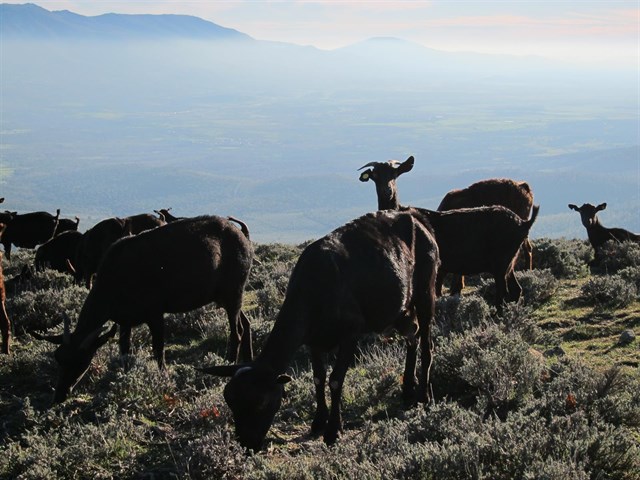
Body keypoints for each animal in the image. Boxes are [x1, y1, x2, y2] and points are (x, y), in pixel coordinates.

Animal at [38, 215, 254, 403]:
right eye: (58, 358)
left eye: (81, 361)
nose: (59, 396)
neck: (113, 282)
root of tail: (244, 238)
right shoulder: (124, 320)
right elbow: (125, 350)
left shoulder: (155, 312)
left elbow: (158, 349)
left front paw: (162, 376)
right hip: (227, 296)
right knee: (245, 322)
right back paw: (247, 360)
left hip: (233, 290)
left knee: (237, 331)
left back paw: (229, 362)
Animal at [202, 209, 439, 450]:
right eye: (230, 400)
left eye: (260, 402)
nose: (247, 444)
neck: (314, 290)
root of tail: (419, 220)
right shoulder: (314, 341)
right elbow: (318, 377)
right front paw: (318, 422)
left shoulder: (350, 334)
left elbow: (335, 380)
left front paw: (333, 430)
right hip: (401, 308)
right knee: (412, 335)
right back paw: (408, 388)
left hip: (425, 290)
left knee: (426, 342)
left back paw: (424, 395)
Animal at [359, 156, 538, 304]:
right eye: (375, 176)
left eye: (395, 174)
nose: (387, 191)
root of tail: (523, 223)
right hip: (508, 262)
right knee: (516, 289)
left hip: (501, 261)